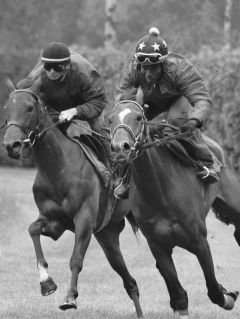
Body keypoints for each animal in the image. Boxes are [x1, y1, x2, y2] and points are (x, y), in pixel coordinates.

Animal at [2, 80, 142, 318]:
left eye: (29, 108)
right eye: (6, 109)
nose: (12, 145)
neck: (58, 168)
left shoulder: (84, 220)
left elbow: (76, 259)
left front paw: (70, 297)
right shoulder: (54, 222)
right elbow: (32, 229)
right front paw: (46, 283)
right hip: (107, 236)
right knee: (130, 282)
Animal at [110, 94, 240, 318]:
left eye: (138, 117)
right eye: (110, 119)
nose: (120, 148)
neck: (160, 192)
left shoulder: (199, 242)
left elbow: (214, 291)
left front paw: (228, 296)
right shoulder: (158, 246)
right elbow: (179, 295)